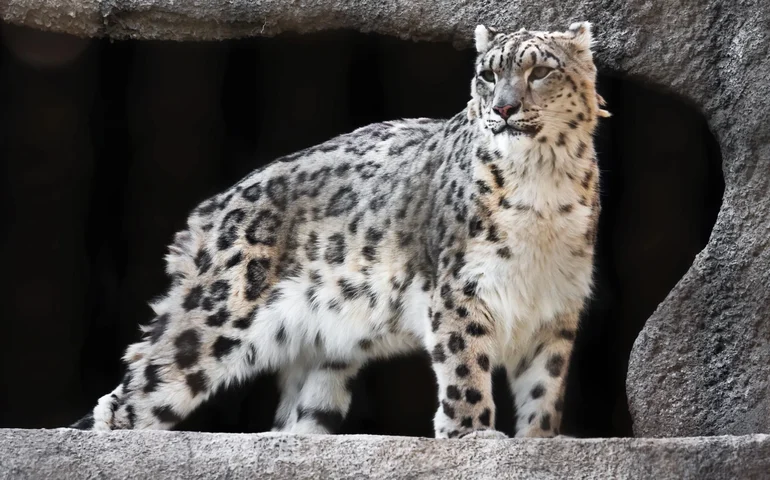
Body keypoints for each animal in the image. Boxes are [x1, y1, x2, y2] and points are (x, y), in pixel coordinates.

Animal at [70, 21, 609, 439]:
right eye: (487, 75)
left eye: (540, 71)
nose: (503, 108)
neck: (542, 190)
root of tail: (211, 209)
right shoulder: (460, 289)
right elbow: (465, 366)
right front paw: (473, 434)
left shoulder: (556, 302)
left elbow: (544, 384)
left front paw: (539, 439)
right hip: (221, 310)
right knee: (142, 383)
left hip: (328, 355)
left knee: (298, 418)